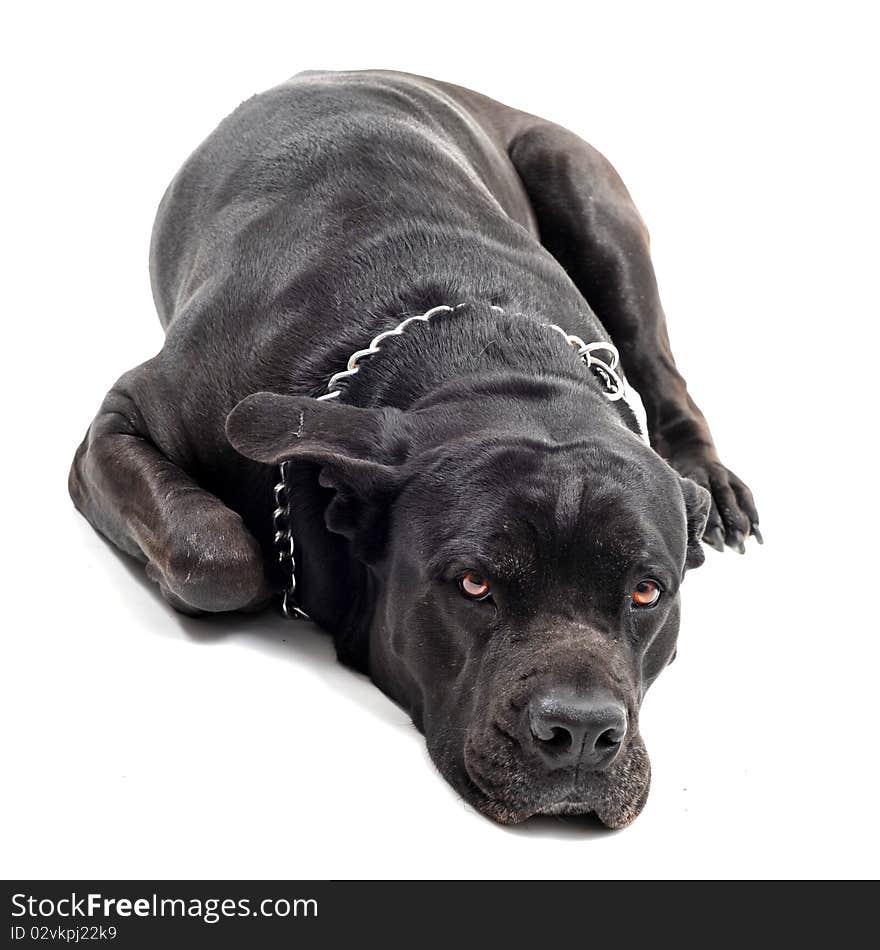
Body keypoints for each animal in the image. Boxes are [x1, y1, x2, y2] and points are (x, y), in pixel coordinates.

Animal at [70, 69, 756, 824]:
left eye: (645, 592)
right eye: (473, 584)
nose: (580, 732)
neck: (483, 359)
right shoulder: (123, 418)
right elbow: (216, 557)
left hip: (585, 188)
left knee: (659, 361)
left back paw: (712, 483)